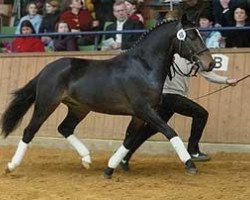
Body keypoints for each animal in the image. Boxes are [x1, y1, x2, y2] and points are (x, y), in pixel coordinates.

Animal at [0, 16, 215, 178]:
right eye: (191, 36)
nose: (210, 63)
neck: (143, 67)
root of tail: (47, 69)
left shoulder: (139, 115)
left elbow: (129, 140)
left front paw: (110, 169)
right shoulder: (144, 110)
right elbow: (170, 132)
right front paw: (190, 164)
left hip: (79, 108)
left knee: (65, 128)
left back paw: (87, 159)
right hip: (46, 104)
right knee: (30, 131)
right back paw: (11, 166)